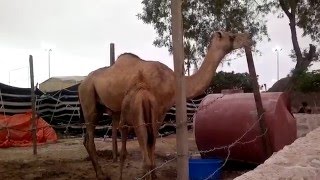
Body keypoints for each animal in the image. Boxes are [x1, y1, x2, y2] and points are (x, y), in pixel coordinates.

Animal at [78, 31, 252, 179]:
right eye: (231, 36)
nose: (247, 37)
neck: (172, 81)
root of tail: (82, 83)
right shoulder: (156, 109)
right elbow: (150, 144)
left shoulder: (160, 112)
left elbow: (152, 144)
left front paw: (154, 175)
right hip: (89, 101)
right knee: (90, 139)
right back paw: (101, 175)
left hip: (99, 106)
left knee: (86, 139)